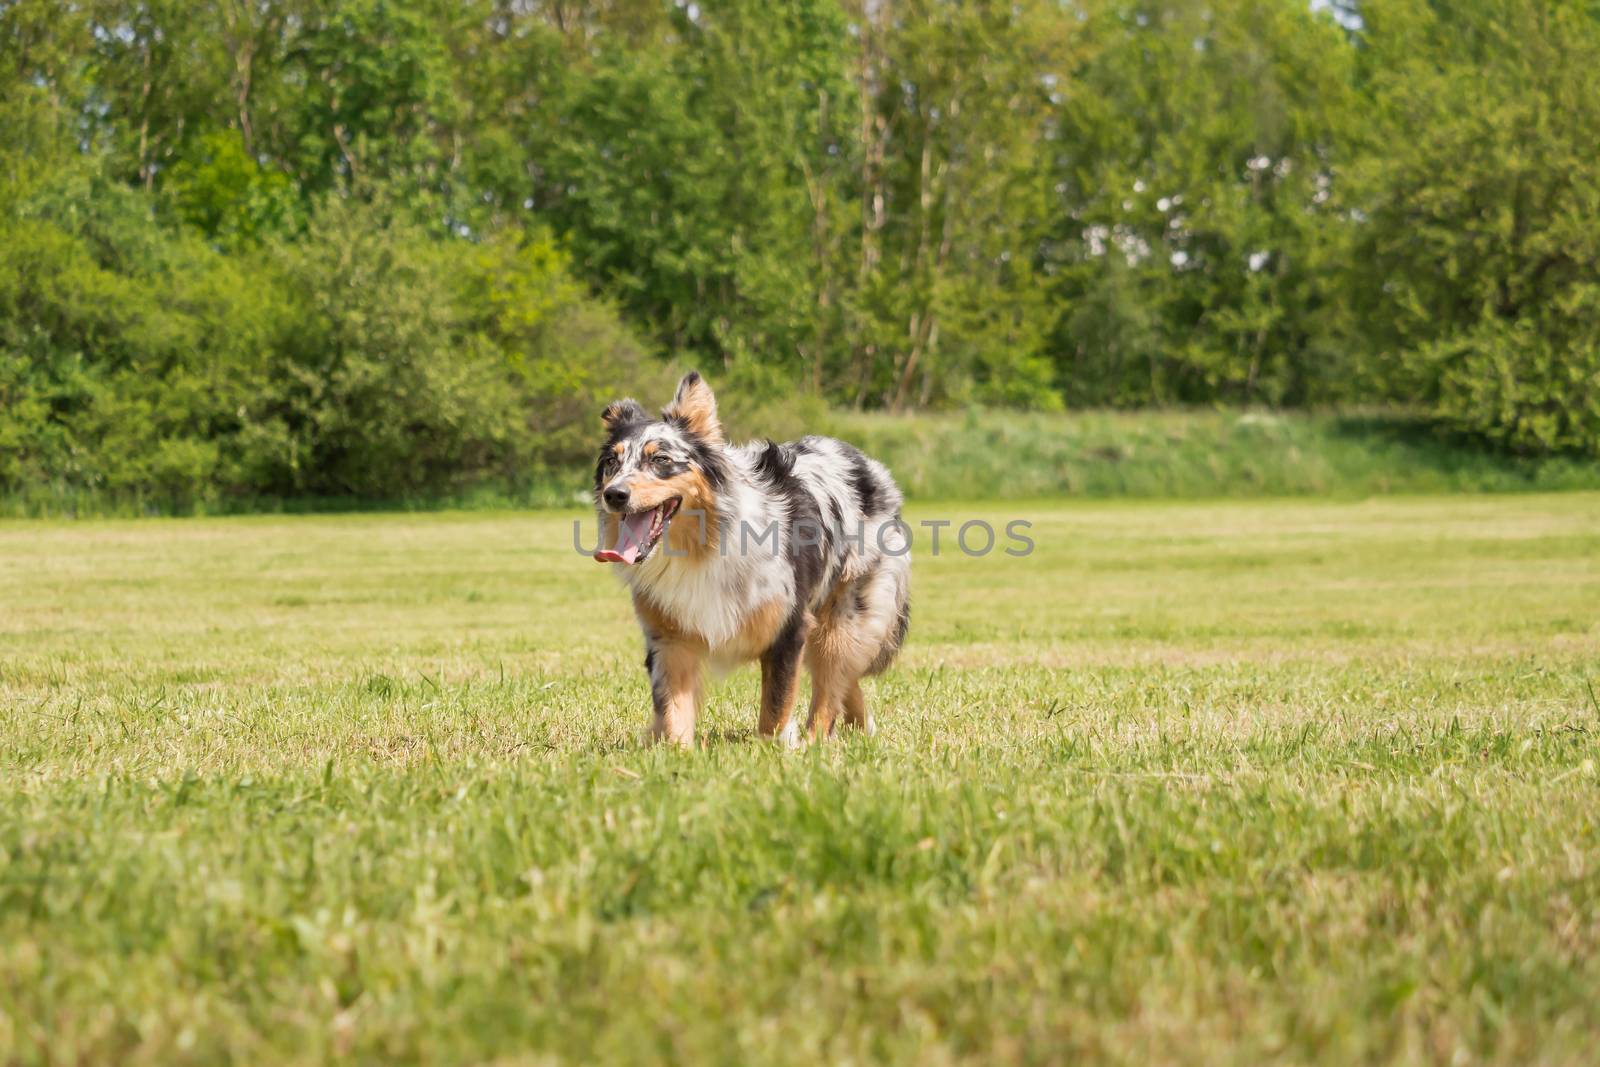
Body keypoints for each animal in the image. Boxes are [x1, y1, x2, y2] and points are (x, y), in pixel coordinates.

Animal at [592, 371, 915, 748]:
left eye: (660, 460)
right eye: (612, 463)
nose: (614, 494)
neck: (702, 547)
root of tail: (871, 466)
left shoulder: (787, 630)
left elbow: (775, 711)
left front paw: (777, 751)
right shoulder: (671, 640)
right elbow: (673, 713)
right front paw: (676, 755)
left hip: (845, 617)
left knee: (831, 684)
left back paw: (816, 744)